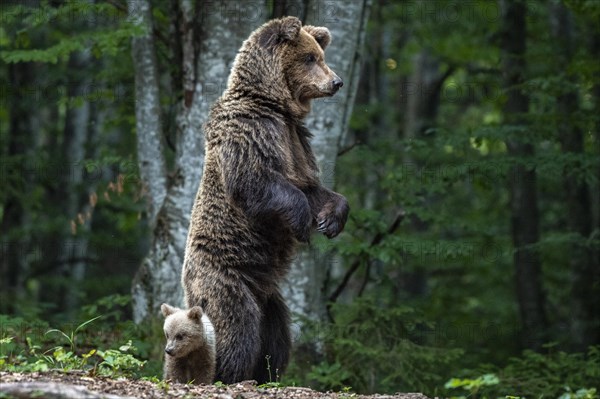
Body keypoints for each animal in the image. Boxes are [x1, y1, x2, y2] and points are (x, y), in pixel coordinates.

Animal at [185, 17, 350, 386]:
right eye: (309, 58)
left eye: (320, 55)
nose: (336, 81)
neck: (275, 105)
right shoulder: (251, 131)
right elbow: (257, 182)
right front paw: (303, 224)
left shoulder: (296, 140)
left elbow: (313, 188)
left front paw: (330, 220)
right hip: (225, 278)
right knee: (236, 325)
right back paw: (226, 373)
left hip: (270, 297)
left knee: (276, 336)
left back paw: (266, 373)